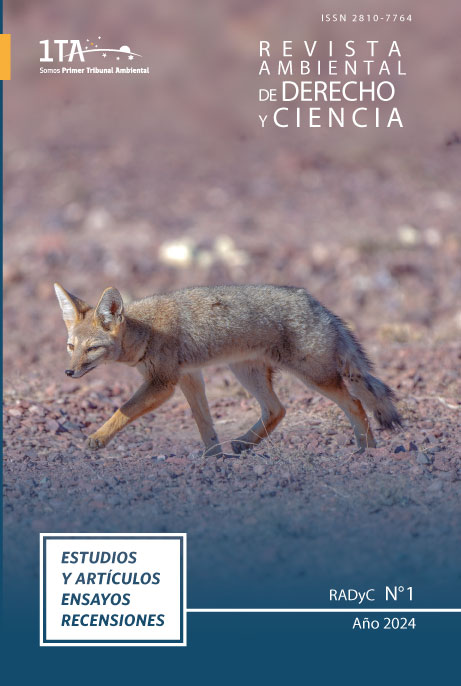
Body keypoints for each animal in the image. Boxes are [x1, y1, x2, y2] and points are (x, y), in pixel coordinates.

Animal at [54, 282, 402, 456]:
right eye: (71, 347)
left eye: (92, 349)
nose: (69, 373)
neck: (145, 330)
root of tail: (319, 305)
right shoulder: (189, 376)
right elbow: (204, 422)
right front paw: (213, 456)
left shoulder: (163, 384)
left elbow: (123, 410)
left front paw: (98, 438)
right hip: (245, 372)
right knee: (277, 409)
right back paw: (244, 444)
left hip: (313, 376)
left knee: (355, 403)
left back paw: (367, 450)